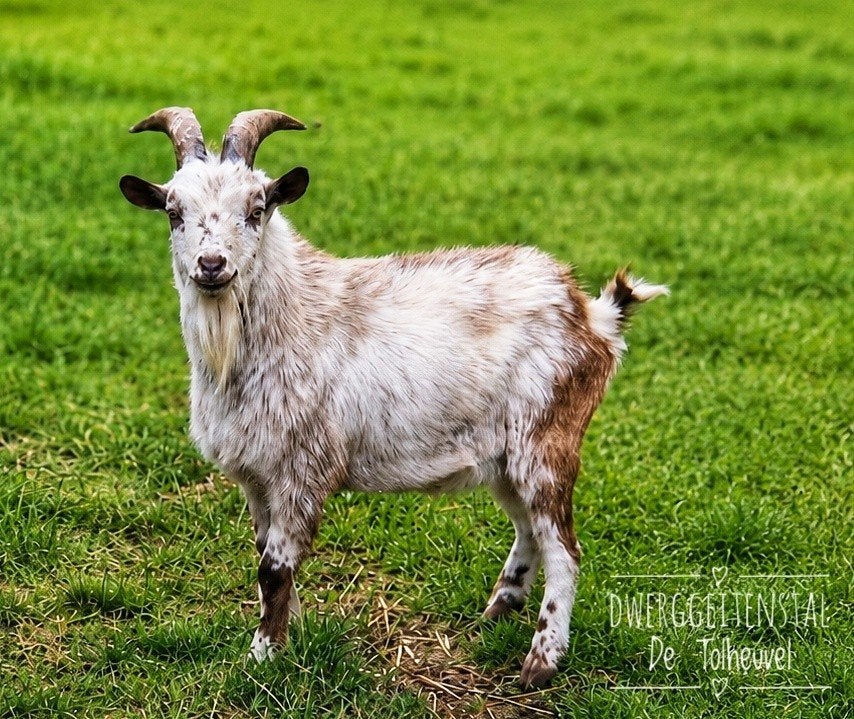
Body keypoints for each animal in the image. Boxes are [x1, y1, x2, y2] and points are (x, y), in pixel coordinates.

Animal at [119, 107, 667, 688]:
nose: (212, 265)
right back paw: (499, 608)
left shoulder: (303, 468)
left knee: (564, 548)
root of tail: (591, 314)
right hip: (504, 456)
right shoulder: (257, 475)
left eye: (257, 208)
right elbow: (265, 558)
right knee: (529, 530)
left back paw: (539, 662)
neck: (294, 315)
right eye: (173, 212)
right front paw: (289, 633)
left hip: (546, 438)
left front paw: (262, 657)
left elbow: (274, 567)